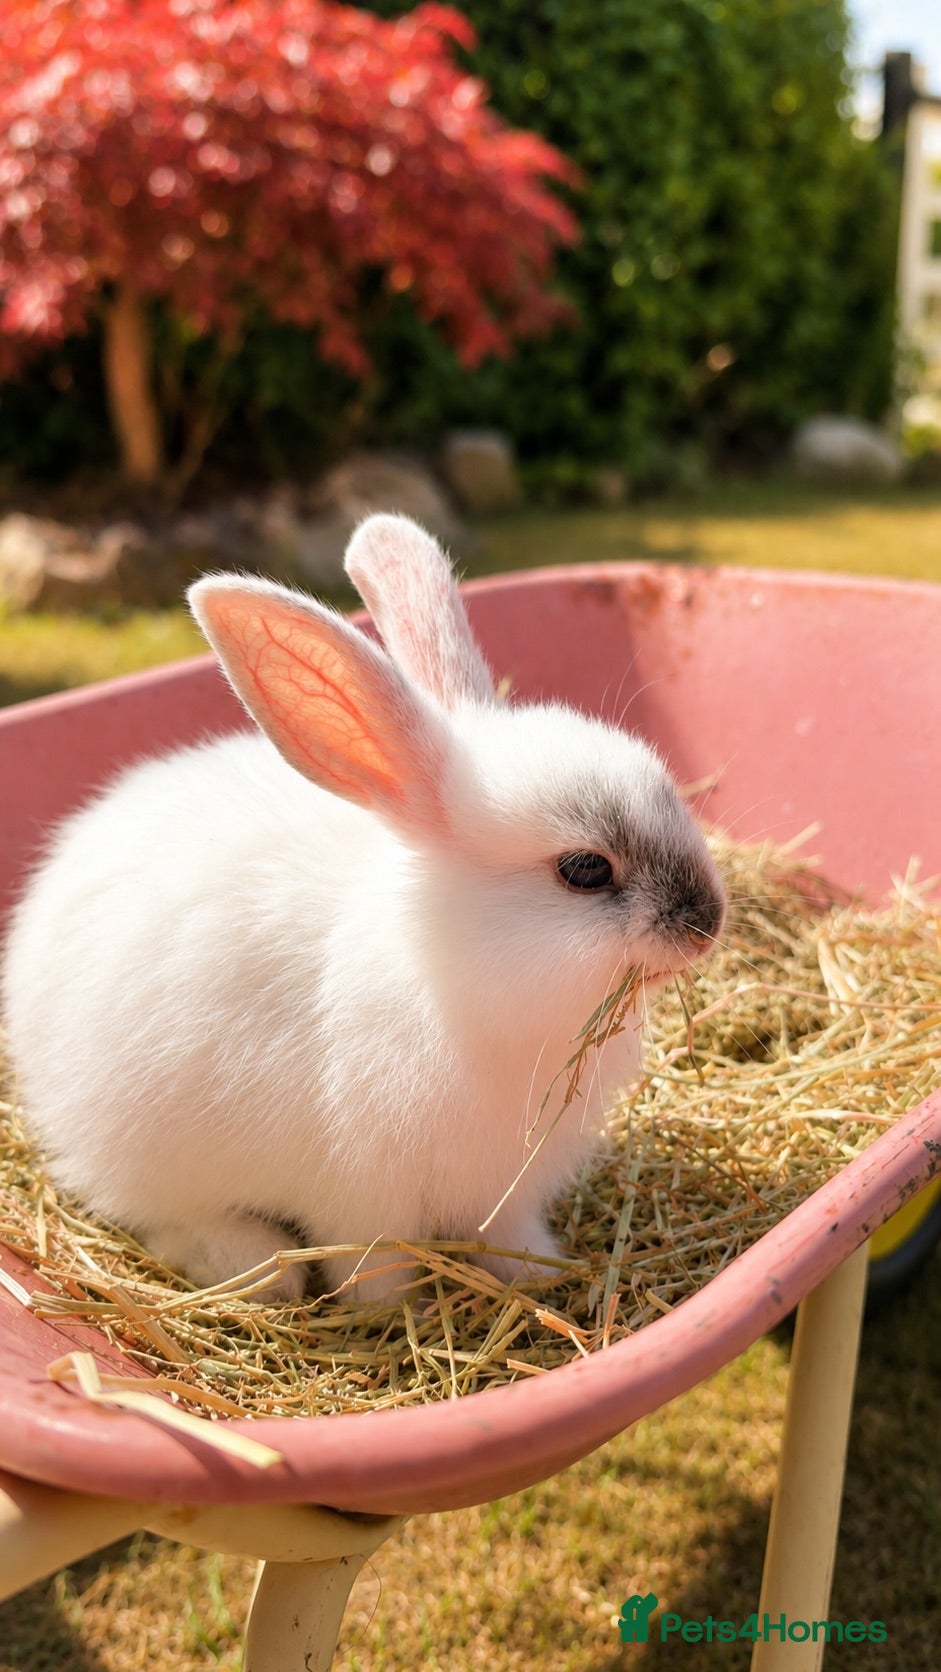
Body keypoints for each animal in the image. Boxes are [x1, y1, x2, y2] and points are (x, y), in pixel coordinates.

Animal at [1, 514, 726, 1304]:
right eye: (585, 870)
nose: (707, 924)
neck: (449, 975)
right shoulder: (360, 1199)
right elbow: (373, 1265)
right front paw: (386, 1310)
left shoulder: (504, 1190)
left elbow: (507, 1238)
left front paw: (538, 1275)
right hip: (142, 1155)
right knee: (163, 1220)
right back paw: (260, 1267)